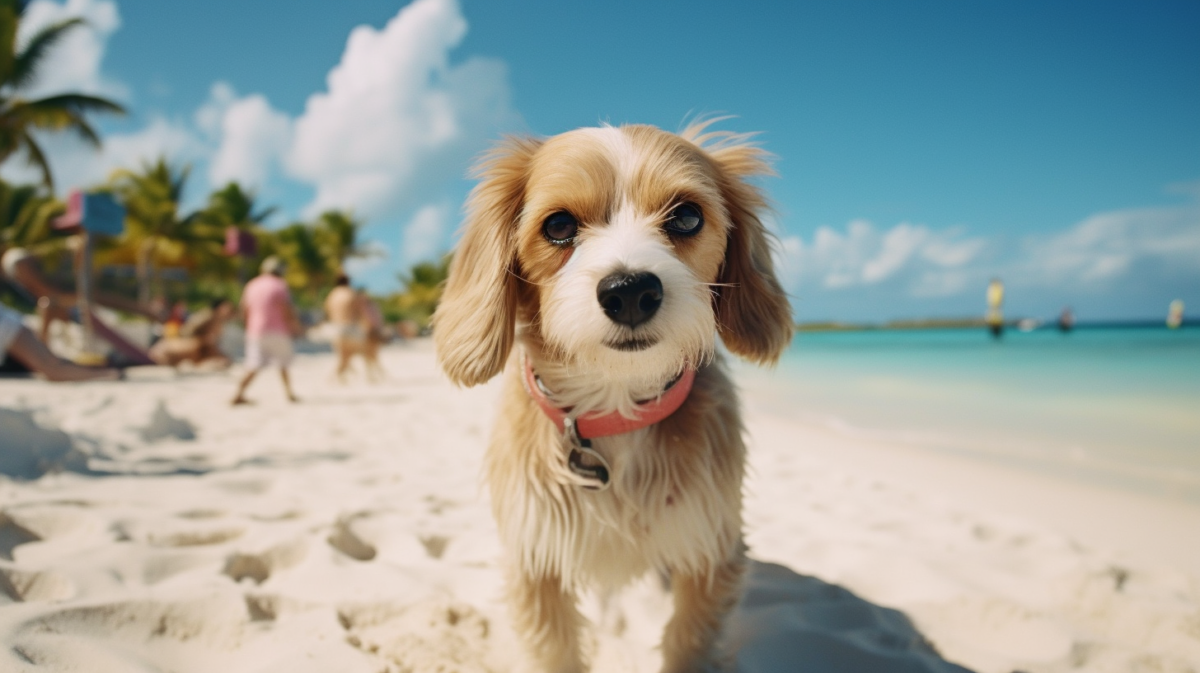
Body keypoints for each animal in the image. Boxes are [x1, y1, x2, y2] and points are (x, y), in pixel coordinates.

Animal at [434, 121, 796, 671]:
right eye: (559, 224)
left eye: (686, 216)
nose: (629, 291)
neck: (616, 405)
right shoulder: (536, 562)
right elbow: (556, 651)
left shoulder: (710, 551)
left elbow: (688, 642)